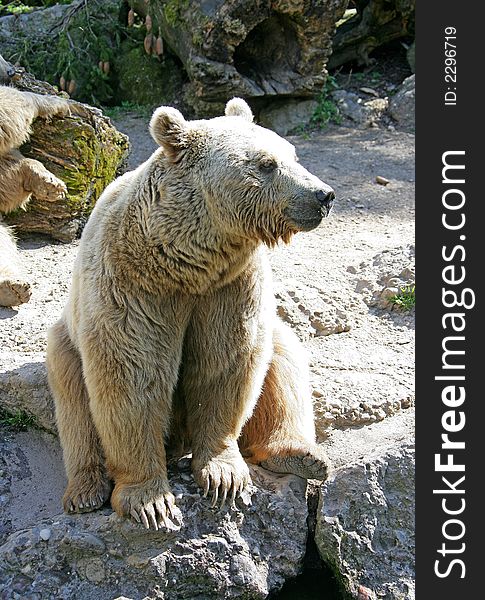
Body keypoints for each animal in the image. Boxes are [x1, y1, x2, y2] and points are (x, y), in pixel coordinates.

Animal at [47, 98, 334, 528]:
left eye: (293, 154)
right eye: (266, 163)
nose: (323, 195)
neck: (186, 261)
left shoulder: (229, 286)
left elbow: (226, 362)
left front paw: (223, 476)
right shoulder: (133, 286)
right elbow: (133, 374)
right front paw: (150, 501)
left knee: (284, 358)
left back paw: (301, 454)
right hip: (66, 341)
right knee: (74, 403)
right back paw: (85, 490)